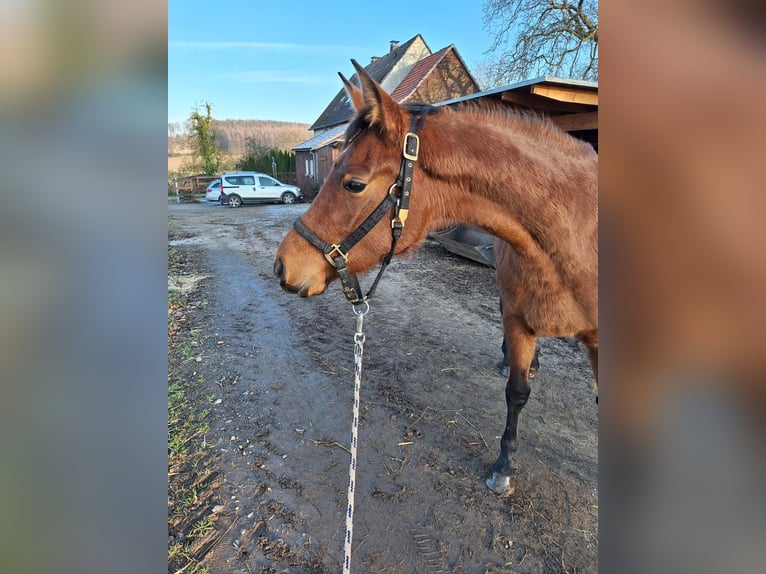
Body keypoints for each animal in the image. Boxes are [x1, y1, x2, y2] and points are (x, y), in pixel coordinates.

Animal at [276, 60, 600, 498]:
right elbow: (515, 393)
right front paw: (504, 465)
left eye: (354, 183)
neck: (575, 231)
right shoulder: (518, 322)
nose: (282, 265)